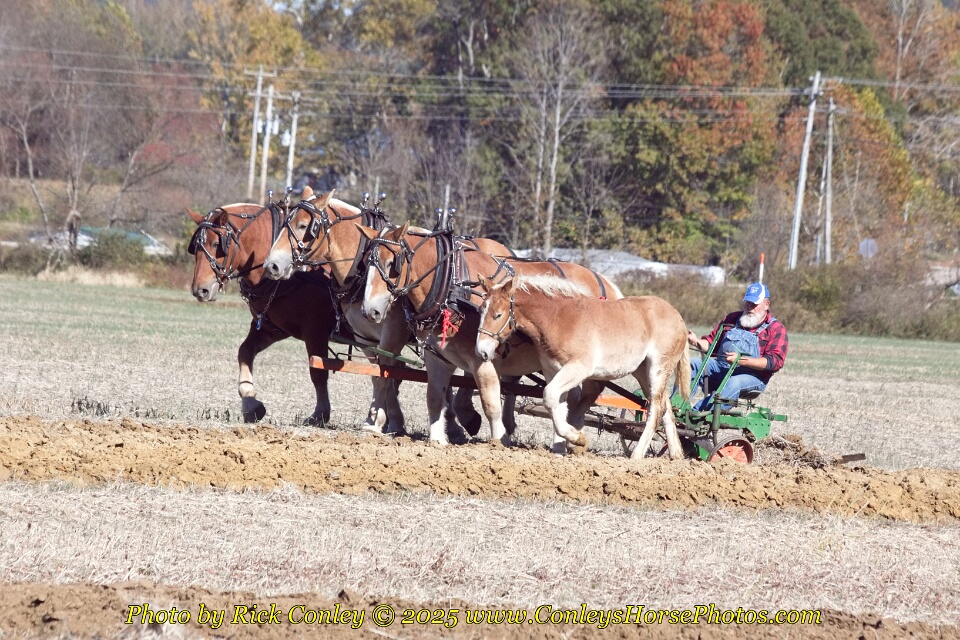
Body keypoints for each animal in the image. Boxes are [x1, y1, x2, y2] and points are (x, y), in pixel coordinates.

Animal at [187, 200, 338, 426]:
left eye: (216, 244)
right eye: (195, 247)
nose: (200, 290)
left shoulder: (315, 330)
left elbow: (318, 371)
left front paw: (320, 414)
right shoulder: (271, 327)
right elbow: (245, 351)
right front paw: (251, 403)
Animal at [261, 187, 515, 436]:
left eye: (304, 226)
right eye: (286, 222)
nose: (271, 265)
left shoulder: (394, 333)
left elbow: (386, 373)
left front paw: (378, 420)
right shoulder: (366, 338)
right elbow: (380, 374)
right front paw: (387, 420)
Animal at [359, 221, 623, 449]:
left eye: (392, 263)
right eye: (366, 263)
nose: (369, 310)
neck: (452, 286)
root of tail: (608, 286)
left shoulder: (483, 360)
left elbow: (490, 402)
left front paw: (499, 440)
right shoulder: (437, 358)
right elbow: (434, 397)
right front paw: (437, 439)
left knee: (583, 399)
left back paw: (571, 437)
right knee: (568, 398)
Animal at [476, 273, 691, 459]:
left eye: (498, 315)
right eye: (480, 311)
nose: (481, 351)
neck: (558, 318)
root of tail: (679, 318)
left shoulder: (578, 369)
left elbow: (549, 396)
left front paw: (576, 438)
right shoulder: (552, 370)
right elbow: (558, 404)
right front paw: (559, 449)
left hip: (658, 368)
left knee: (655, 408)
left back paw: (637, 455)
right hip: (643, 373)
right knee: (666, 407)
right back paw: (676, 455)